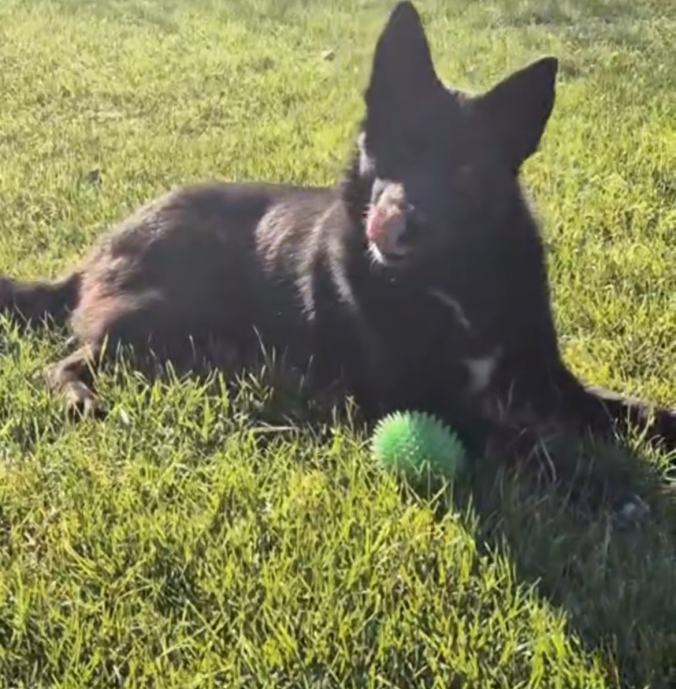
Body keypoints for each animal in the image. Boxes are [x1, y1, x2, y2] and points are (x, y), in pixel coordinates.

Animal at [1, 2, 674, 470]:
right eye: (392, 150)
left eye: (465, 168)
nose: (394, 223)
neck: (451, 284)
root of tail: (93, 254)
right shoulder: (412, 396)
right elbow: (521, 441)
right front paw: (595, 479)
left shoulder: (547, 375)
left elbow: (632, 408)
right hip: (158, 313)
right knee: (63, 362)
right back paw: (78, 396)